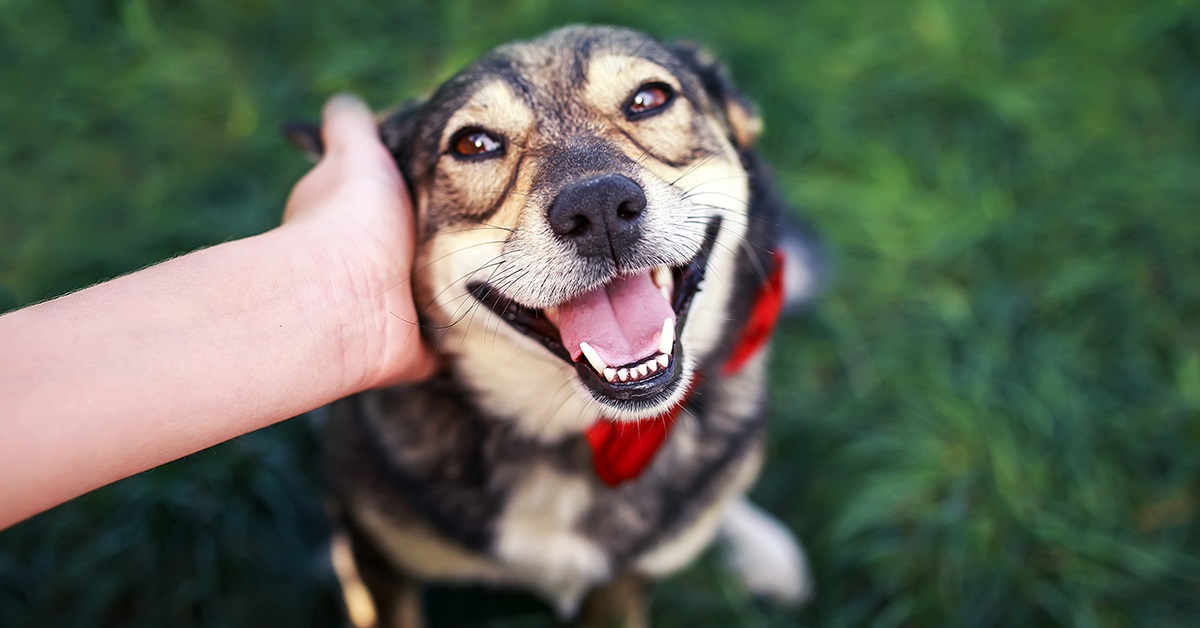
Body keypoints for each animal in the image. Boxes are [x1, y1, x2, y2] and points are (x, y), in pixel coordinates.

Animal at [285, 25, 820, 628]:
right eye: (473, 144)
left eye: (650, 98)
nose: (600, 206)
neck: (570, 433)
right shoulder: (383, 568)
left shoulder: (620, 586)